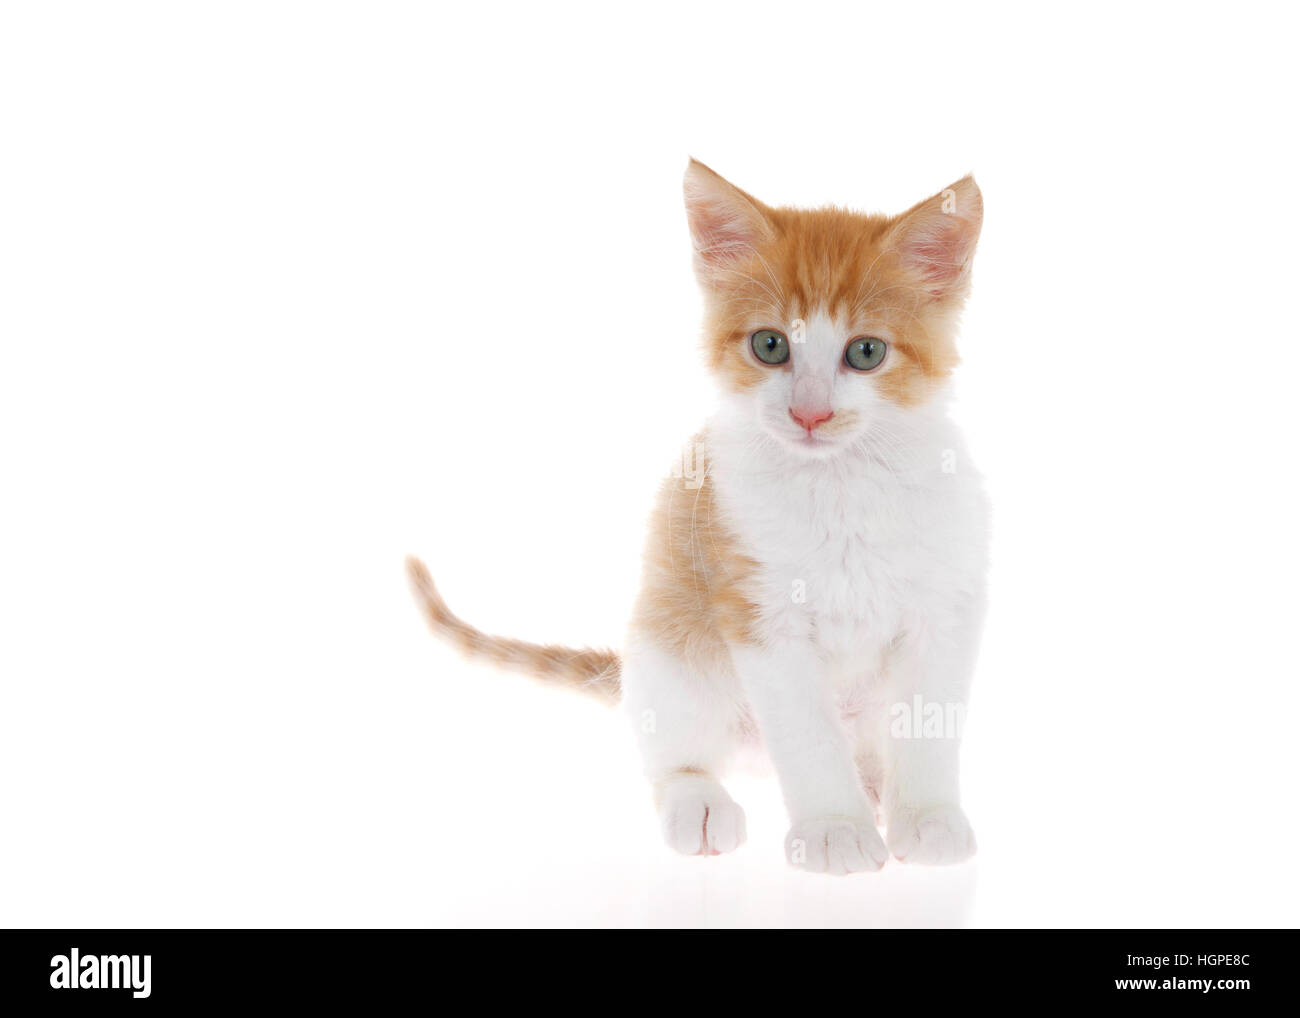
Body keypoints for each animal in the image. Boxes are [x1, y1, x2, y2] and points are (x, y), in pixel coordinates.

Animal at [408, 159, 982, 873]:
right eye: (770, 346)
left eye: (866, 352)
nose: (811, 413)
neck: (838, 485)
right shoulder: (756, 609)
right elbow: (809, 734)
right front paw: (834, 830)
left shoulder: (947, 603)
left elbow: (929, 721)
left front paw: (927, 817)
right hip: (668, 645)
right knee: (674, 756)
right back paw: (700, 802)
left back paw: (876, 782)